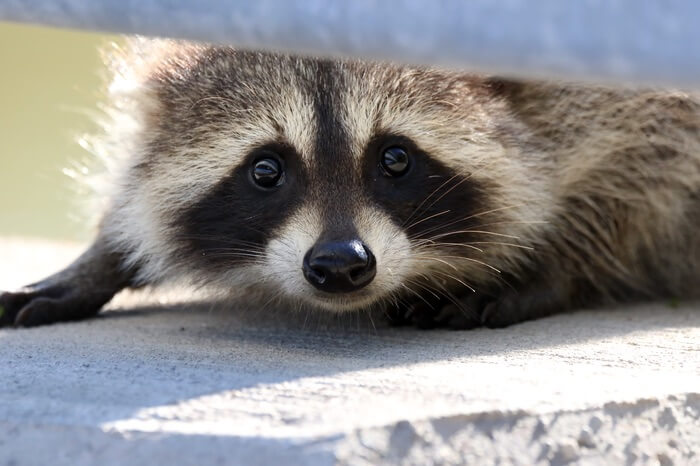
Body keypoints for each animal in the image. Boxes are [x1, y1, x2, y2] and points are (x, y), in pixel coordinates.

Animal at [1, 38, 700, 330]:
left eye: (395, 159)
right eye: (266, 170)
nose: (340, 263)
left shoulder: (626, 96)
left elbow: (641, 179)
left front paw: (548, 267)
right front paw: (104, 256)